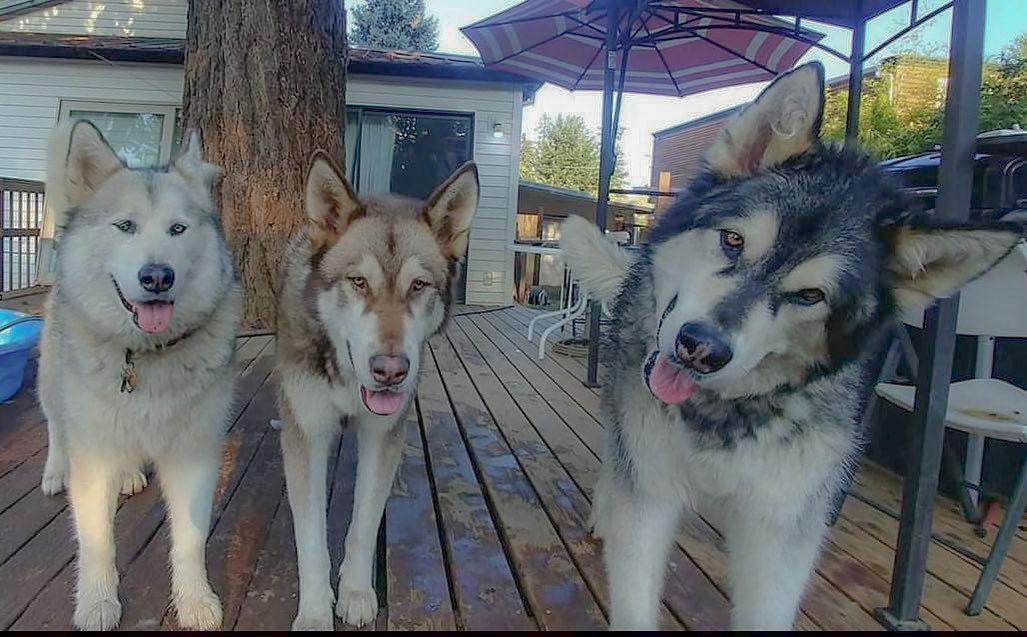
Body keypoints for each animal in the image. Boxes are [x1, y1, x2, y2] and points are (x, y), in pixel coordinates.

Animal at [39, 120, 239, 632]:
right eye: (125, 227)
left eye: (178, 229)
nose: (157, 276)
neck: (145, 357)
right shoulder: (92, 458)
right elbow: (96, 542)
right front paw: (96, 602)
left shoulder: (194, 454)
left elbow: (190, 538)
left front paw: (193, 600)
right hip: (53, 383)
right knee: (55, 425)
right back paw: (54, 471)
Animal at [562, 62, 1027, 628]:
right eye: (733, 241)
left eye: (810, 295)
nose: (701, 348)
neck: (722, 412)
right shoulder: (649, 493)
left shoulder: (780, 529)